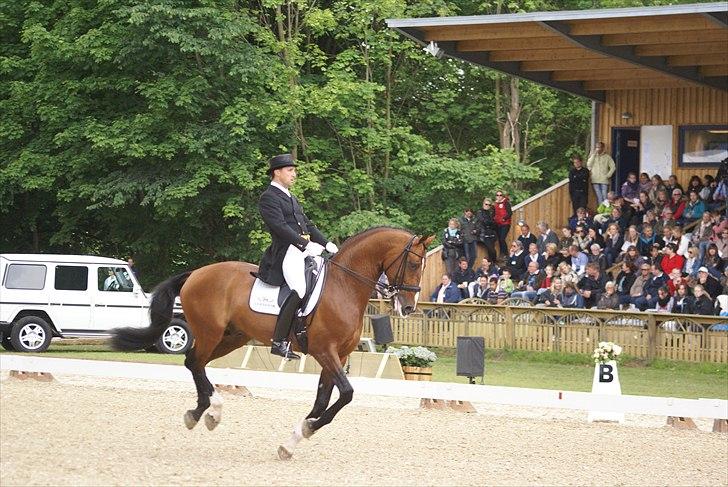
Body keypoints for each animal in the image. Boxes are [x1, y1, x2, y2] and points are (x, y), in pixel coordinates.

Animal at [111, 227, 436, 460]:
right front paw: (307, 429)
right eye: (414, 263)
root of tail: (197, 272)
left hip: (232, 337)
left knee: (196, 363)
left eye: (422, 266)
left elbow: (322, 401)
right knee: (193, 362)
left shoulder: (338, 355)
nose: (409, 307)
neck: (344, 285)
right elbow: (346, 394)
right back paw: (208, 411)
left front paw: (293, 440)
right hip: (209, 332)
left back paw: (204, 412)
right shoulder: (324, 351)